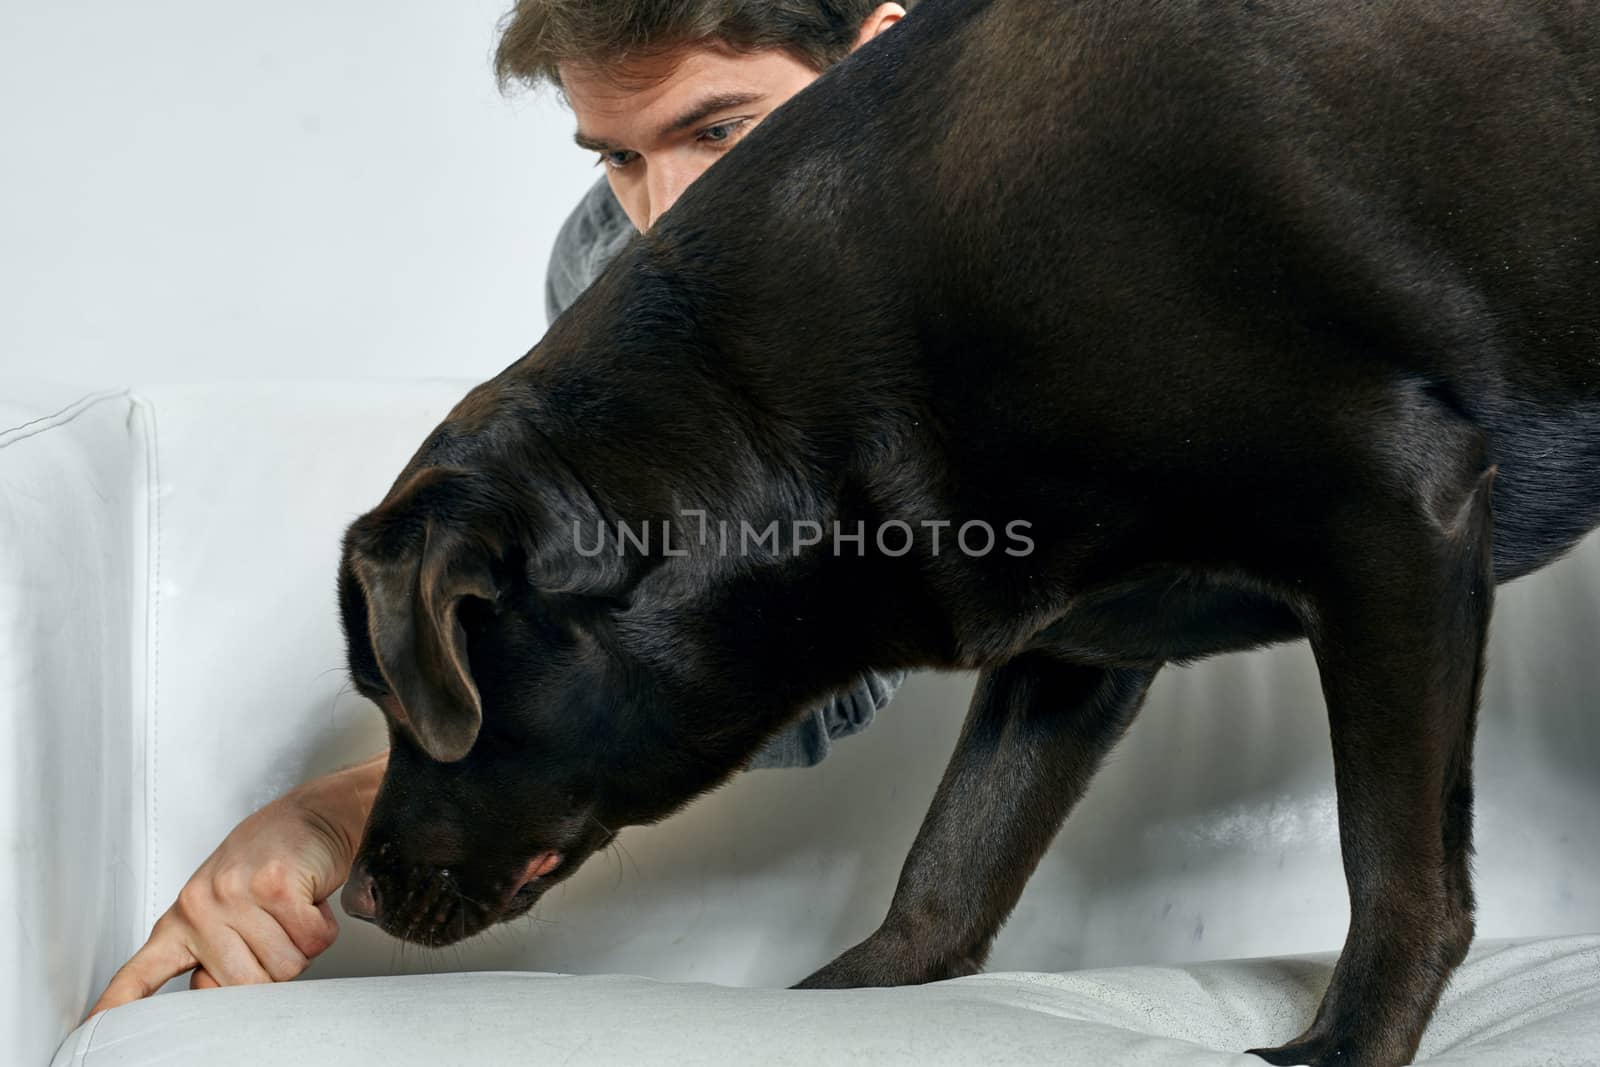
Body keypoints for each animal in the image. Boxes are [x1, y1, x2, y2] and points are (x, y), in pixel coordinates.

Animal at [334, 4, 1600, 1062]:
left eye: (401, 697)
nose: (350, 898)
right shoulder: (1070, 648)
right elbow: (954, 849)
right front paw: (855, 993)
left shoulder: (1398, 513)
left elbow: (1394, 858)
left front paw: (1345, 1044)